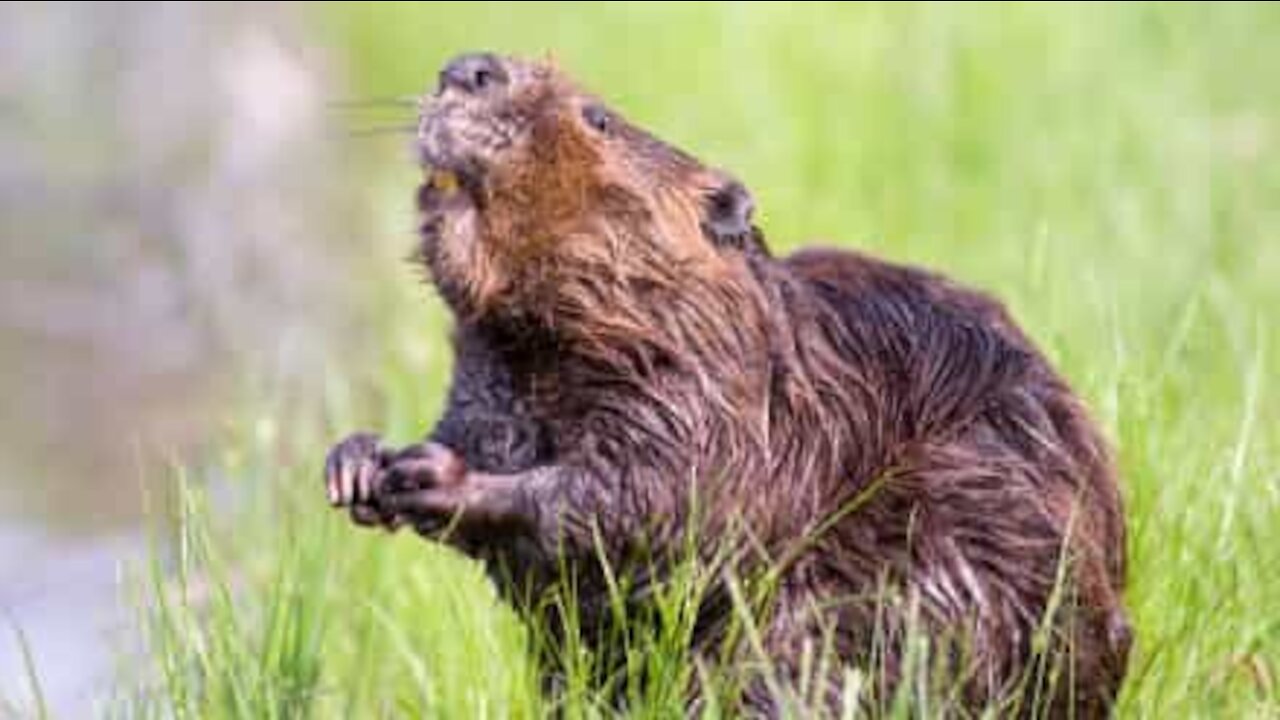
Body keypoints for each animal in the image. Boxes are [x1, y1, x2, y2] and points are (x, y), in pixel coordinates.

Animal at [325, 53, 1136, 712]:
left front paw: (433, 476)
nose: (468, 68)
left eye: (599, 118)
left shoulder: (717, 393)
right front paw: (358, 461)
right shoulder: (493, 375)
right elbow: (481, 430)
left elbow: (663, 499)